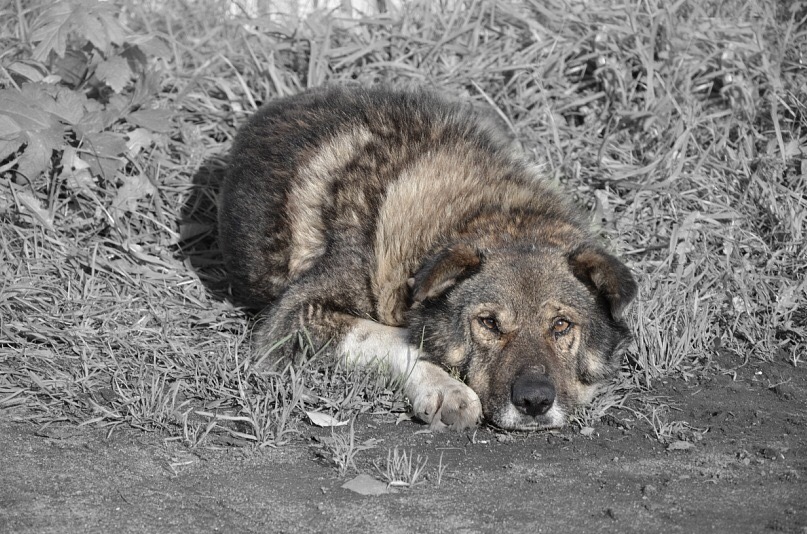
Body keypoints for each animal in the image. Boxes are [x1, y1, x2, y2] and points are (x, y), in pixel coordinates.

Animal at [221, 86, 636, 434]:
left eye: (562, 325)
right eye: (488, 323)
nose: (534, 401)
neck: (482, 211)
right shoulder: (291, 319)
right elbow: (392, 337)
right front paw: (446, 387)